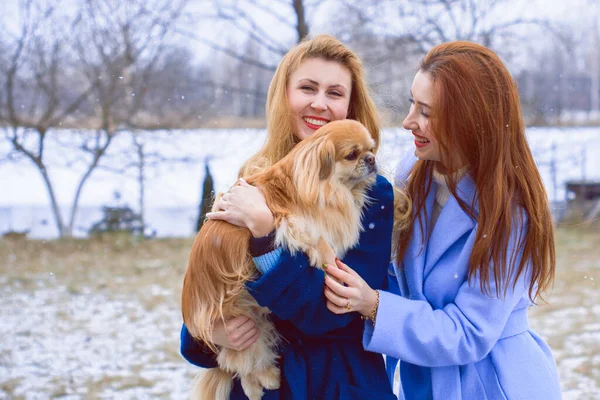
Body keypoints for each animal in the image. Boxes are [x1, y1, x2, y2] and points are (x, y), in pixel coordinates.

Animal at [183, 119, 378, 400]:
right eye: (352, 154)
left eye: (371, 149)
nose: (372, 159)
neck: (331, 189)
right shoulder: (292, 223)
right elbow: (321, 244)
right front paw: (332, 264)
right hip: (239, 323)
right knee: (238, 361)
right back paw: (263, 383)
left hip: (255, 321)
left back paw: (265, 382)